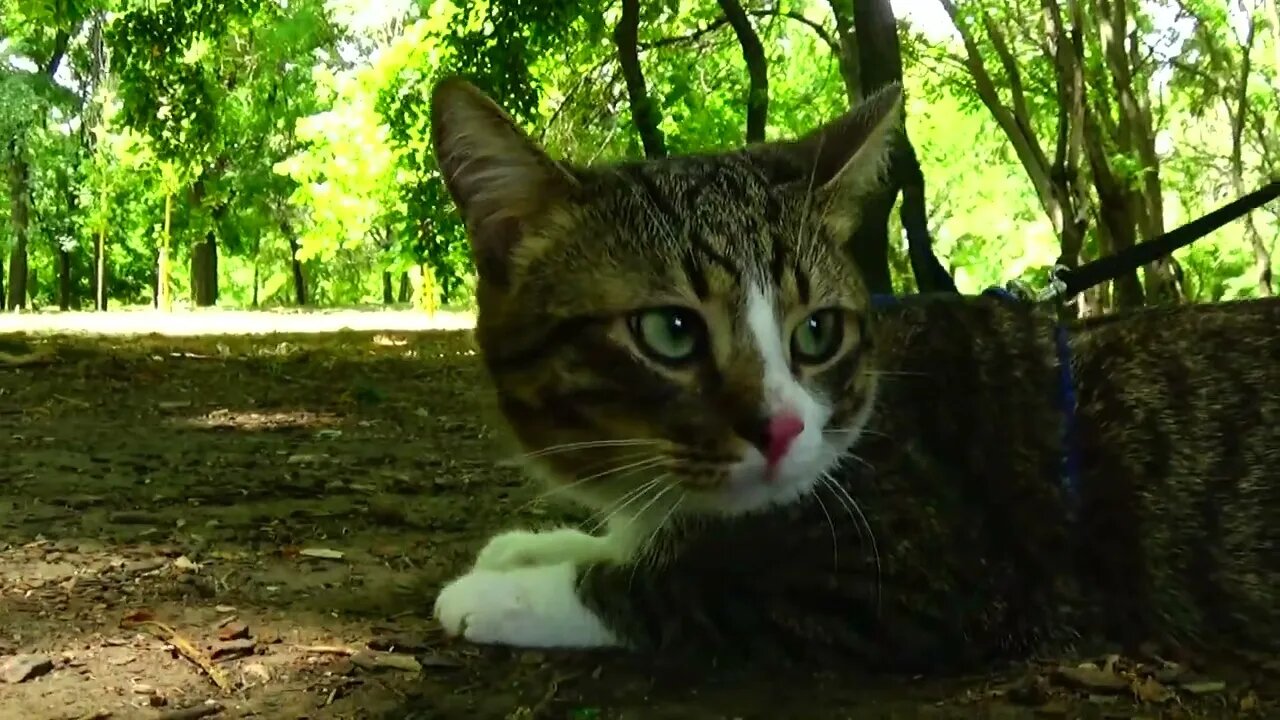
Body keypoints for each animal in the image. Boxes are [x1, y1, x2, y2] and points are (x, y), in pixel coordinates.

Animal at [427, 75, 1280, 671]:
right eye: (670, 332)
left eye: (816, 332)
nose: (780, 428)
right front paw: (545, 544)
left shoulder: (925, 578)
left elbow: (676, 586)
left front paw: (505, 589)